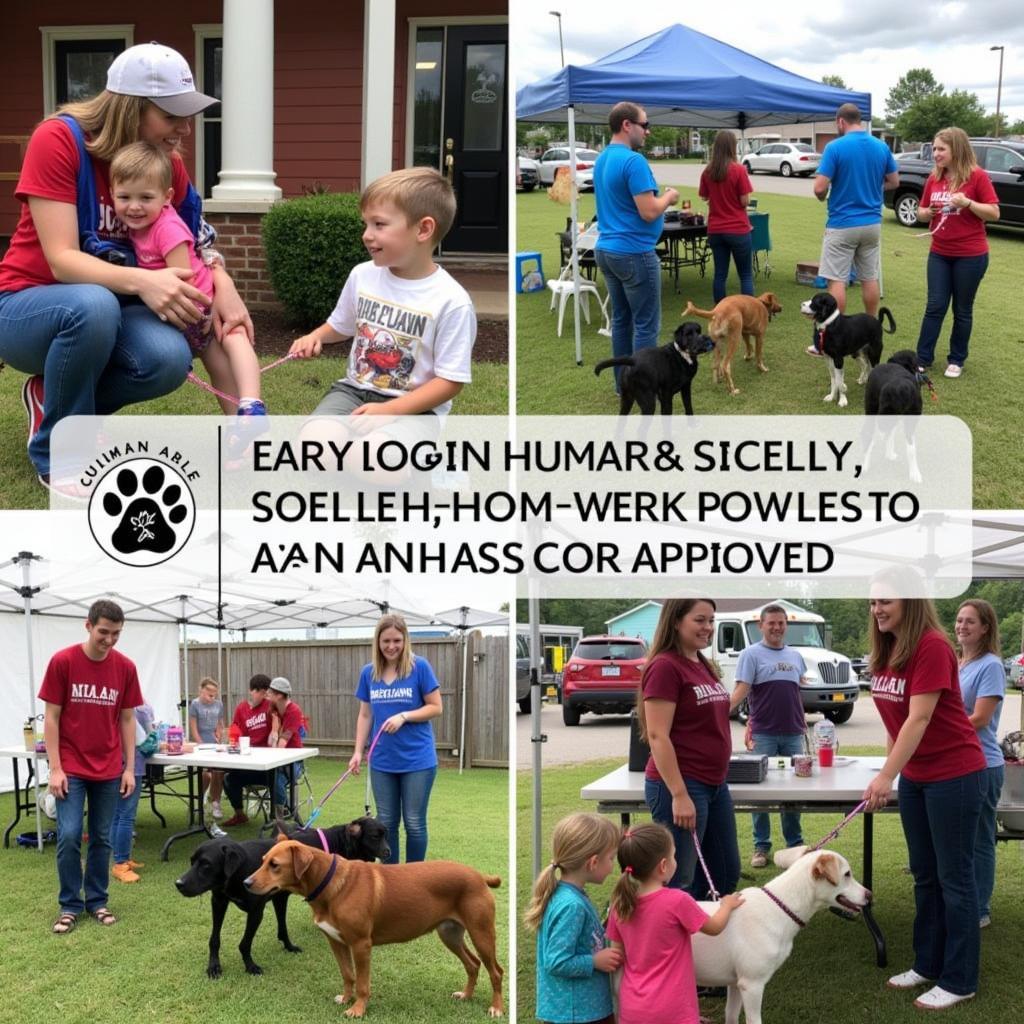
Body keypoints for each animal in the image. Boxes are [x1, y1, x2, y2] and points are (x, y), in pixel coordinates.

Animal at [176, 815, 387, 974]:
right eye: (194, 862)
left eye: (206, 864)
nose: (178, 884)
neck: (242, 869)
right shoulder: (219, 902)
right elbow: (215, 939)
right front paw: (214, 966)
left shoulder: (259, 910)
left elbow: (247, 941)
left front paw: (251, 965)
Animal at [247, 839, 503, 1015]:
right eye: (262, 861)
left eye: (275, 865)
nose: (246, 882)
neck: (331, 884)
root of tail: (479, 876)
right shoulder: (337, 942)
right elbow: (347, 975)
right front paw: (346, 998)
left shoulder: (361, 945)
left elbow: (362, 982)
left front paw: (358, 1009)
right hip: (450, 934)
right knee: (473, 964)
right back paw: (466, 995)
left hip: (482, 934)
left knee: (496, 972)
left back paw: (496, 1008)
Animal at [688, 847, 872, 1024]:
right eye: (847, 874)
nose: (870, 895)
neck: (779, 908)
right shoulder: (751, 985)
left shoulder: (735, 984)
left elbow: (731, 1016)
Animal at [860, 348, 933, 483]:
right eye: (917, 358)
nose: (924, 365)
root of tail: (898, 388)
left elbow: (892, 435)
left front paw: (890, 454)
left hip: (876, 411)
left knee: (870, 433)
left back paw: (865, 466)